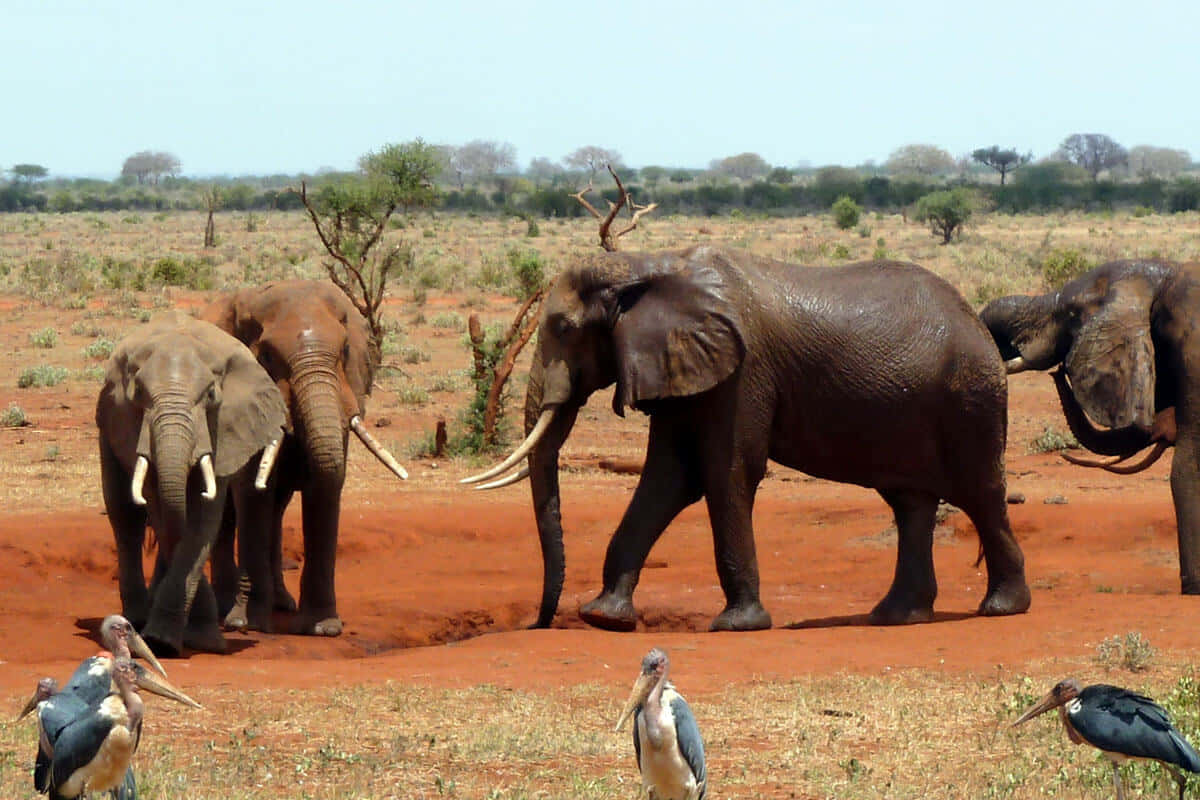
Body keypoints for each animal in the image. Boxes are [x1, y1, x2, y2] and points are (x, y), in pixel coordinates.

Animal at [96, 311, 286, 656]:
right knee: (124, 515)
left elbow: (203, 518)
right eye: (139, 394)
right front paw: (166, 640)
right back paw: (136, 619)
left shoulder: (226, 428)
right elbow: (162, 510)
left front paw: (192, 640)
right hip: (109, 424)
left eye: (210, 395)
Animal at [201, 280, 408, 637]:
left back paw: (282, 604)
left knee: (276, 510)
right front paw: (249, 625)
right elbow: (252, 491)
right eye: (266, 357)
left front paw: (323, 628)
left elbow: (325, 488)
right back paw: (226, 610)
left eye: (345, 351)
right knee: (227, 513)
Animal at [464, 245, 1031, 631]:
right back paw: (895, 616)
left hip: (970, 397)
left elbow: (725, 472)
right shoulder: (684, 369)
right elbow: (668, 479)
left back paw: (1002, 608)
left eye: (563, 327)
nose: (541, 621)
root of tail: (978, 323)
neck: (648, 265)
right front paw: (604, 616)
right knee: (910, 501)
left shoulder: (742, 371)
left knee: (980, 493)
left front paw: (737, 625)